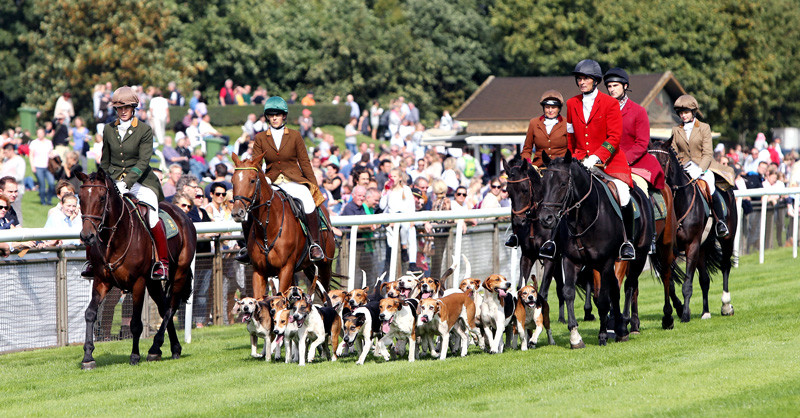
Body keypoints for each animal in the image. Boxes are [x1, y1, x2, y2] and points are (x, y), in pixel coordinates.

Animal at [77, 168, 197, 368]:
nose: (87, 236)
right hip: (153, 283)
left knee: (170, 308)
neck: (115, 238)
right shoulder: (101, 281)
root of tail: (183, 214)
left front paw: (134, 356)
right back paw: (173, 348)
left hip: (178, 274)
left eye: (102, 197)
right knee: (164, 308)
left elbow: (135, 323)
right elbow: (90, 314)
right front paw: (88, 356)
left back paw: (155, 348)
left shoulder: (138, 283)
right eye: (80, 197)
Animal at [230, 152, 336, 298]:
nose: (237, 213)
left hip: (325, 266)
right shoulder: (259, 272)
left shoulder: (285, 269)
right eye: (232, 181)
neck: (267, 228)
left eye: (252, 180)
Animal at [536, 152, 656, 348]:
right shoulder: (571, 260)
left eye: (563, 183)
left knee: (629, 287)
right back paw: (619, 327)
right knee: (616, 288)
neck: (583, 217)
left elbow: (603, 300)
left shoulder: (605, 262)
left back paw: (625, 326)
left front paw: (602, 335)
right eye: (543, 183)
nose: (546, 219)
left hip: (637, 257)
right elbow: (568, 293)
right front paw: (575, 337)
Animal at [644, 139, 736, 322]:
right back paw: (705, 312)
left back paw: (726, 306)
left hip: (727, 239)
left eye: (662, 163)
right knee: (704, 279)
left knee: (725, 266)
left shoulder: (692, 245)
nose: (651, 188)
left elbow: (687, 283)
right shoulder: (669, 249)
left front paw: (685, 314)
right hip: (702, 247)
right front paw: (679, 309)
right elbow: (670, 282)